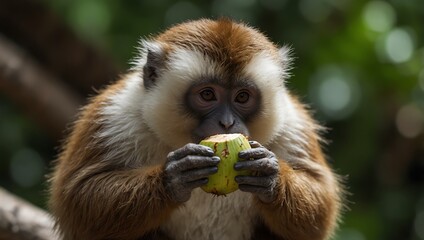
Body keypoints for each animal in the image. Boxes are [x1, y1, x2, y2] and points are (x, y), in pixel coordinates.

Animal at [48, 18, 342, 240]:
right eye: (207, 95)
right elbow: (78, 199)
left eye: (242, 97)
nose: (227, 123)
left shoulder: (294, 125)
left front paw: (269, 175)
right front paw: (173, 177)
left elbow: (319, 210)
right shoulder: (114, 115)